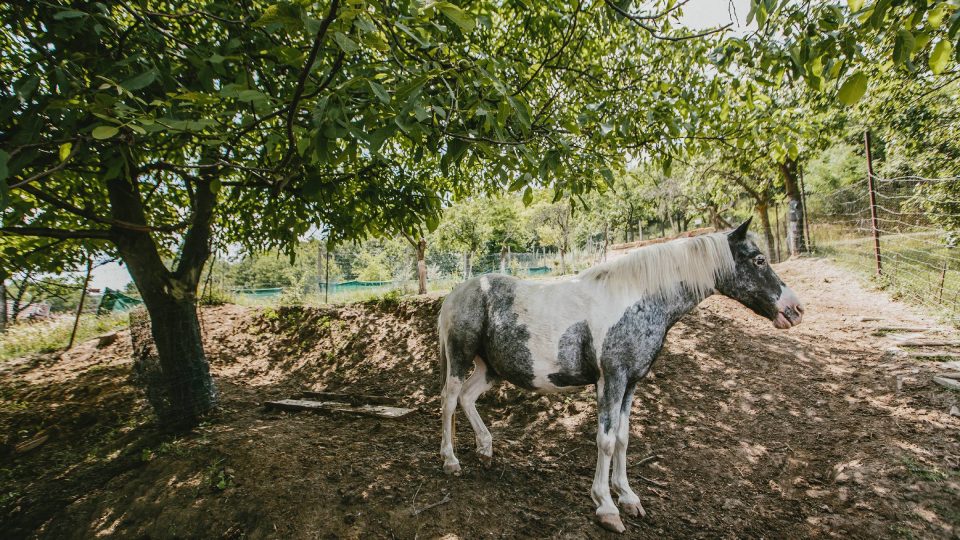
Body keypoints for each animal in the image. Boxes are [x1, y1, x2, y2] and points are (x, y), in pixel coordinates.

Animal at [436, 218, 804, 532]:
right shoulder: (611, 380)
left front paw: (627, 497)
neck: (636, 300)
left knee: (468, 398)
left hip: (490, 369)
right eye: (759, 260)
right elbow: (607, 439)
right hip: (460, 358)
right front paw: (606, 507)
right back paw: (450, 461)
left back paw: (485, 450)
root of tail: (455, 294)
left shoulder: (631, 383)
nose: (795, 309)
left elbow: (624, 438)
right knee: (450, 401)